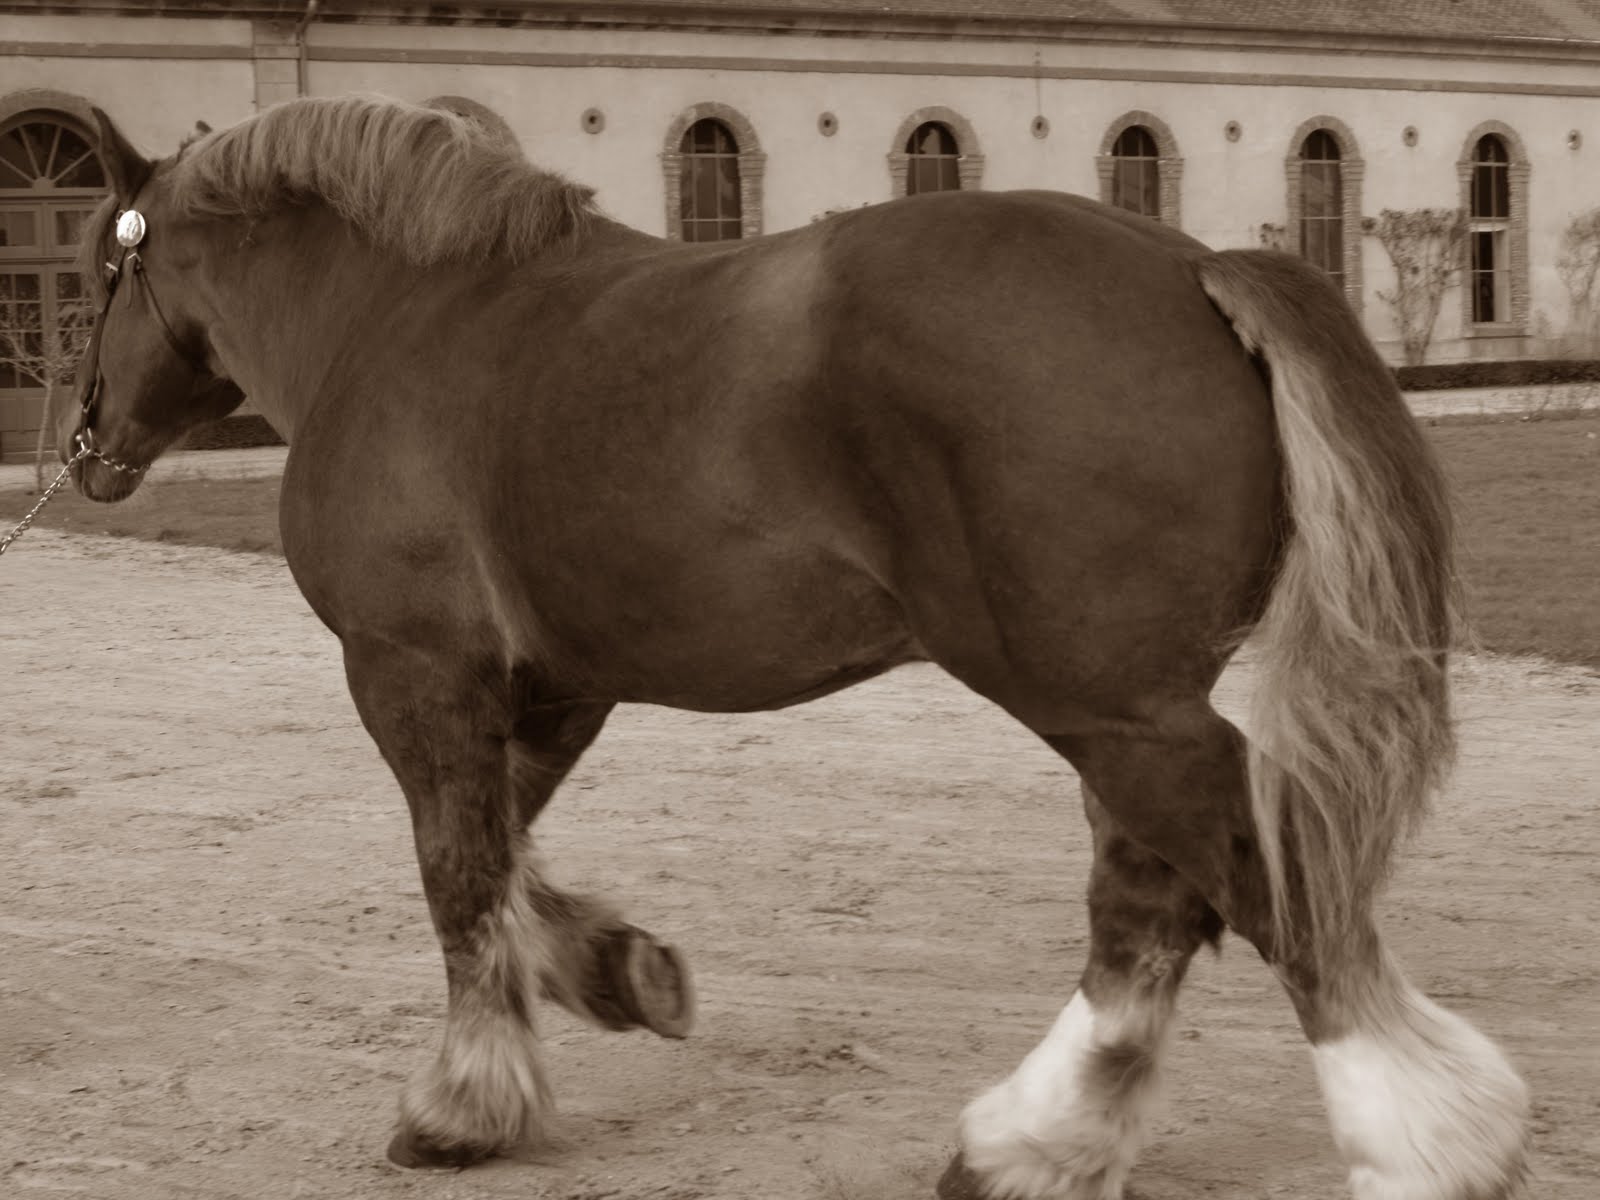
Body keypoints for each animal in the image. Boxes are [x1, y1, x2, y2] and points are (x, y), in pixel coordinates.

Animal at [62, 95, 1528, 1200]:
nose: (85, 450)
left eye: (96, 264)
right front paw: (621, 971)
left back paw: (1426, 1142)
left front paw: (462, 1107)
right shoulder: (556, 685)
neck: (405, 319)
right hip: (1119, 707)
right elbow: (507, 859)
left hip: (1107, 706)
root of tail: (1191, 269)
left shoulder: (411, 671)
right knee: (1150, 906)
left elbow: (457, 872)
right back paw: (1030, 1147)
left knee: (1266, 884)